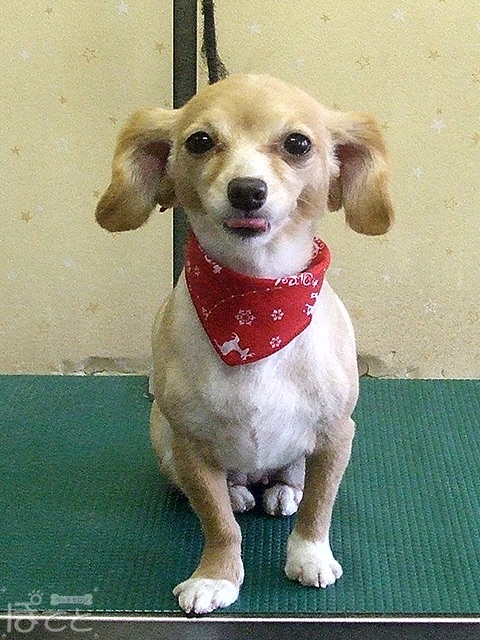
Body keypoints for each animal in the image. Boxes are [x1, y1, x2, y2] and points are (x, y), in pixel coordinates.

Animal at [95, 74, 393, 615]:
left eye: (298, 143)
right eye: (199, 141)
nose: (247, 190)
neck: (255, 300)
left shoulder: (337, 434)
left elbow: (319, 507)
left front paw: (310, 557)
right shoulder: (190, 446)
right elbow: (218, 524)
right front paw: (216, 576)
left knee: (291, 480)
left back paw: (281, 492)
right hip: (163, 438)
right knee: (228, 494)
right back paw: (240, 494)